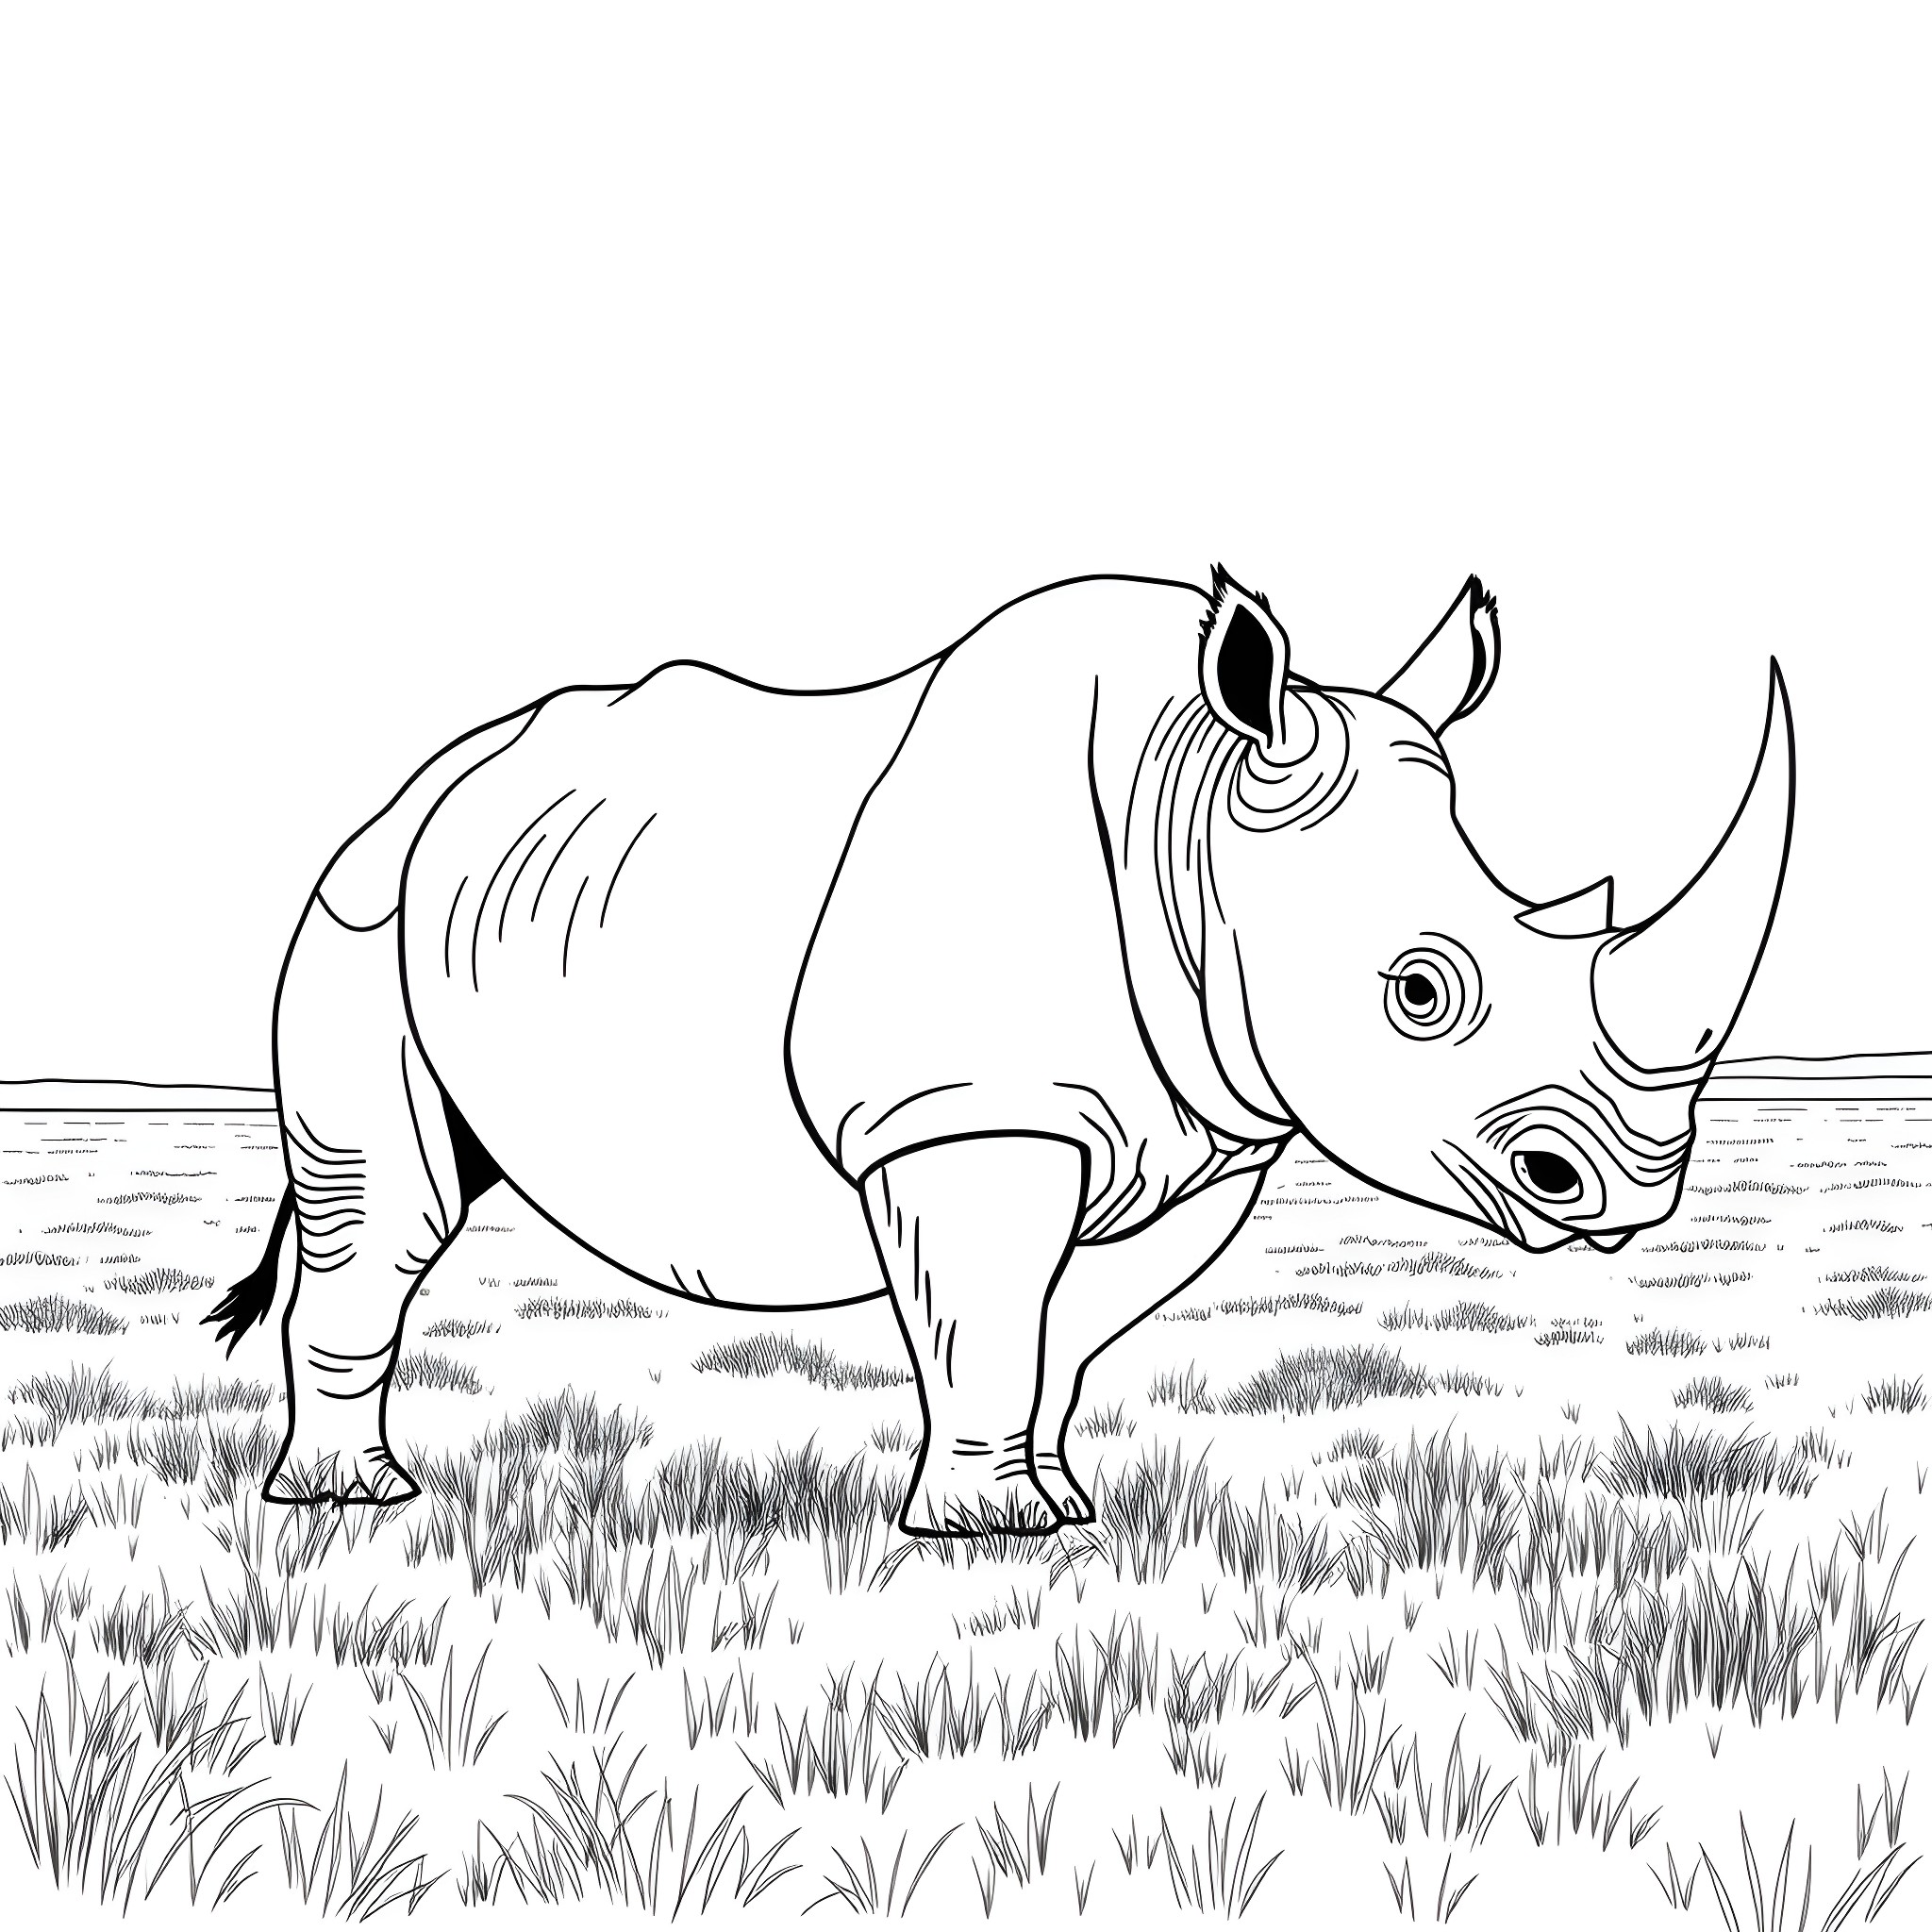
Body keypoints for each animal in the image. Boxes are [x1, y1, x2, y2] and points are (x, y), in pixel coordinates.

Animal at [209, 568, 1793, 1534]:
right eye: (1419, 991)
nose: (1629, 1191)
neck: (1195, 807)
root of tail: (415, 787)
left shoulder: (1210, 1127)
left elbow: (1065, 1333)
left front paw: (1058, 1501)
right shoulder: (963, 1110)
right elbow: (984, 1316)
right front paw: (991, 1531)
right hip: (358, 914)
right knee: (392, 1214)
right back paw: (351, 1503)